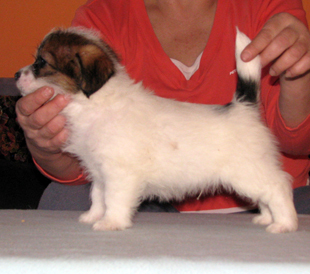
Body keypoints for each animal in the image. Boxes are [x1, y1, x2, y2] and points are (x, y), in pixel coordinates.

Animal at [16, 27, 298, 233]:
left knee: (277, 187)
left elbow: (113, 199)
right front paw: (93, 215)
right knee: (266, 195)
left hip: (247, 172)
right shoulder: (98, 171)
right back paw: (267, 218)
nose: (18, 74)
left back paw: (284, 224)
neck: (92, 104)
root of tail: (243, 107)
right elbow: (98, 195)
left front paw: (111, 222)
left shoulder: (119, 173)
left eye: (41, 62)